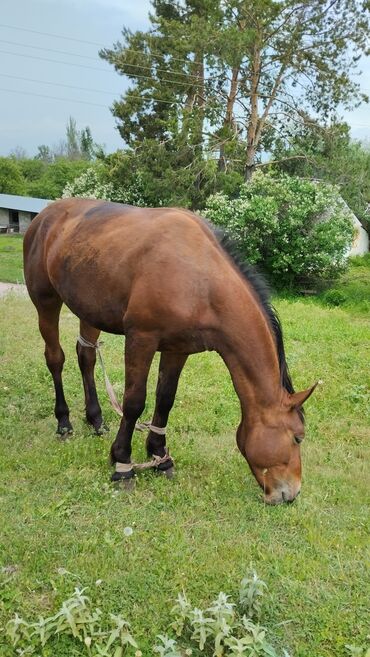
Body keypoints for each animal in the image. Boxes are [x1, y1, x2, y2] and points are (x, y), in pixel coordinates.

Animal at [23, 197, 316, 504]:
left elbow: (165, 400)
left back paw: (96, 419)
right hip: (46, 301)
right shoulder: (140, 340)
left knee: (87, 357)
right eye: (298, 437)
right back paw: (64, 421)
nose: (291, 493)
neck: (200, 281)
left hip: (90, 310)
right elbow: (134, 402)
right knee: (55, 359)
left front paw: (160, 456)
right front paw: (122, 463)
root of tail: (44, 216)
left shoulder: (178, 349)